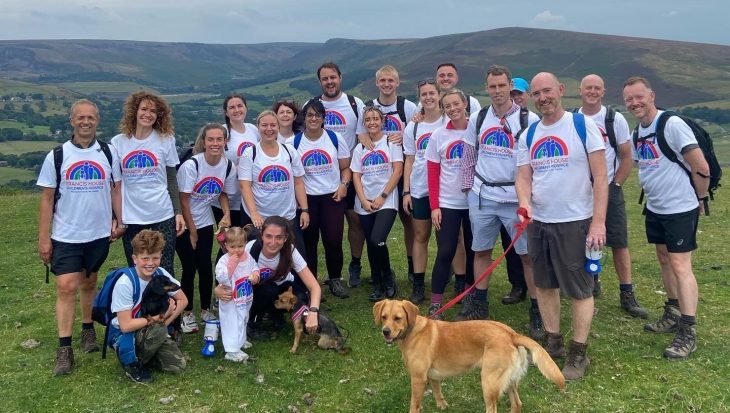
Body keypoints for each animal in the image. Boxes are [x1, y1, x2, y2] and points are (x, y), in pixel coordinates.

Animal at [372, 300, 564, 412]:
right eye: (384, 317)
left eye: (397, 318)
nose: (385, 332)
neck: (412, 331)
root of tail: (511, 334)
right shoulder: (432, 376)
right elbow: (437, 392)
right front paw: (442, 406)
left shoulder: (418, 379)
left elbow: (415, 404)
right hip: (508, 381)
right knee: (517, 404)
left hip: (489, 382)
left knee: (493, 408)